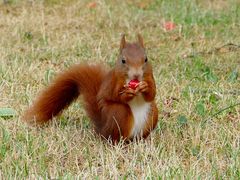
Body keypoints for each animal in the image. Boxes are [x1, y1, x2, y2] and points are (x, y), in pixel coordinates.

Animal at [22, 34, 158, 142]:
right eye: (123, 60)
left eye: (146, 59)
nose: (136, 75)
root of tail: (104, 130)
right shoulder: (113, 82)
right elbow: (114, 95)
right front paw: (127, 93)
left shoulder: (150, 77)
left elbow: (152, 94)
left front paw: (145, 87)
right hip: (119, 114)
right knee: (116, 137)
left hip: (152, 113)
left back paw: (143, 141)